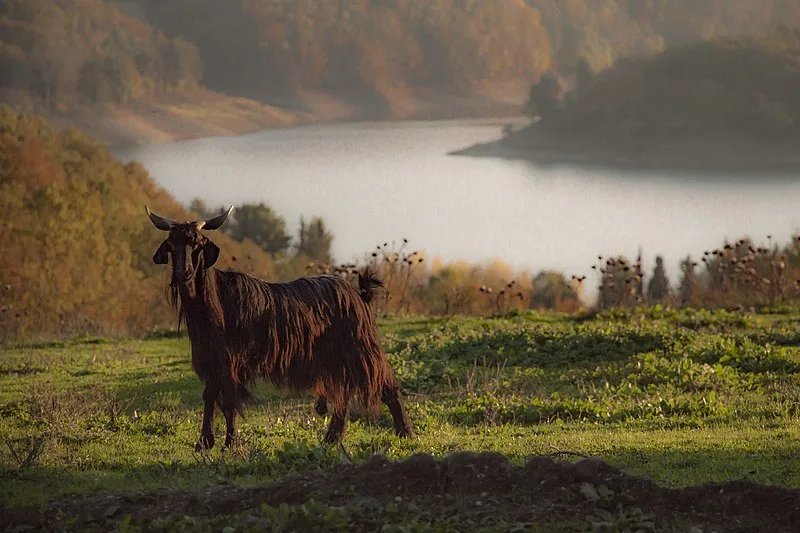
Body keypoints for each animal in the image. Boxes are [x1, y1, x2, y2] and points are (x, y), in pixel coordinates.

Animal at [146, 205, 416, 448]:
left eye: (198, 244)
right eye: (171, 245)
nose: (183, 273)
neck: (214, 302)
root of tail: (360, 294)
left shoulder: (229, 360)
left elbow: (228, 400)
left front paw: (230, 443)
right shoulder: (211, 359)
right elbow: (210, 395)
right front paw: (204, 442)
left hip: (361, 348)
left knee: (387, 386)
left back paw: (405, 433)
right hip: (336, 358)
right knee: (344, 394)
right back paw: (332, 437)